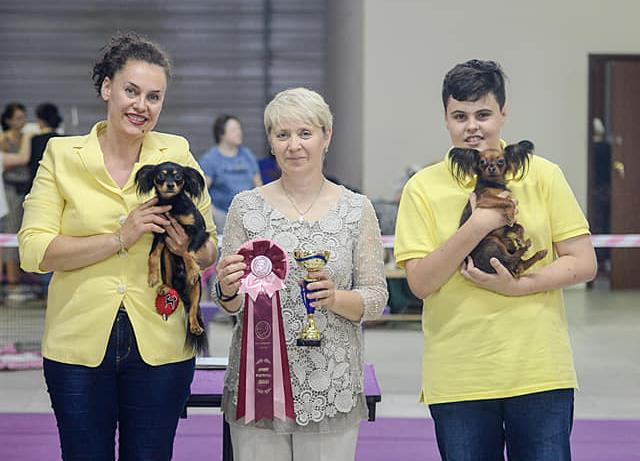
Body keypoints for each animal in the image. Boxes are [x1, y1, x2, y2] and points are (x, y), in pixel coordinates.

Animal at [135, 161, 209, 353]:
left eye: (178, 177)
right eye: (160, 176)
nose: (170, 185)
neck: (172, 204)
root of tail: (181, 289)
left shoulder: (198, 232)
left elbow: (187, 251)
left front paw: (192, 270)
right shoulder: (161, 232)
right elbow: (152, 254)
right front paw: (152, 276)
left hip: (197, 289)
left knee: (193, 310)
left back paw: (195, 326)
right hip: (167, 262)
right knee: (169, 281)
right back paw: (164, 287)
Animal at [450, 140, 547, 278]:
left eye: (501, 161)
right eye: (482, 162)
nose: (491, 167)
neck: (494, 184)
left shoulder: (505, 227)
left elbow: (519, 226)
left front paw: (520, 239)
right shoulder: (484, 199)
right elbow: (508, 202)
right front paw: (511, 215)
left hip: (507, 242)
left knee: (520, 265)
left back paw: (536, 252)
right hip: (493, 241)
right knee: (511, 259)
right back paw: (527, 247)